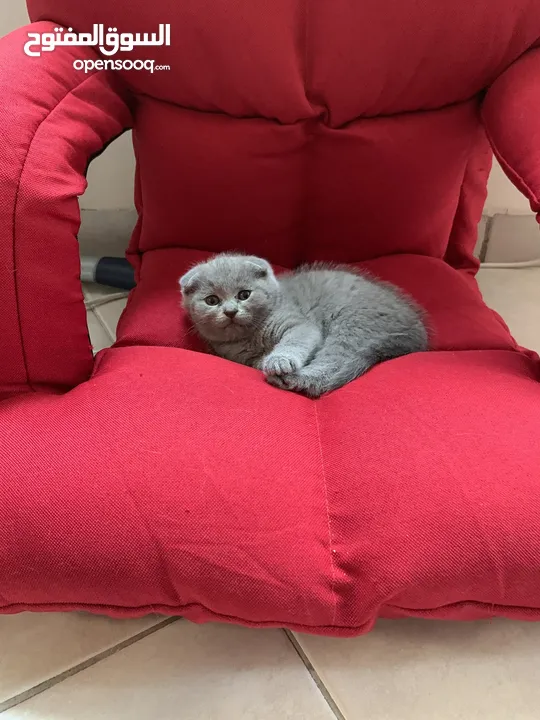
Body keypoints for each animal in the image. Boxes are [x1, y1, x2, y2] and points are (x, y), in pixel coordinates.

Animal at [179, 253, 428, 400]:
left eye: (244, 294)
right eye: (212, 300)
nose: (230, 311)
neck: (251, 337)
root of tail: (416, 332)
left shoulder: (298, 324)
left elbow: (296, 340)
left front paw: (278, 361)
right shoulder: (239, 355)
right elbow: (256, 361)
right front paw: (266, 362)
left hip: (352, 324)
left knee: (332, 366)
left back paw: (292, 379)